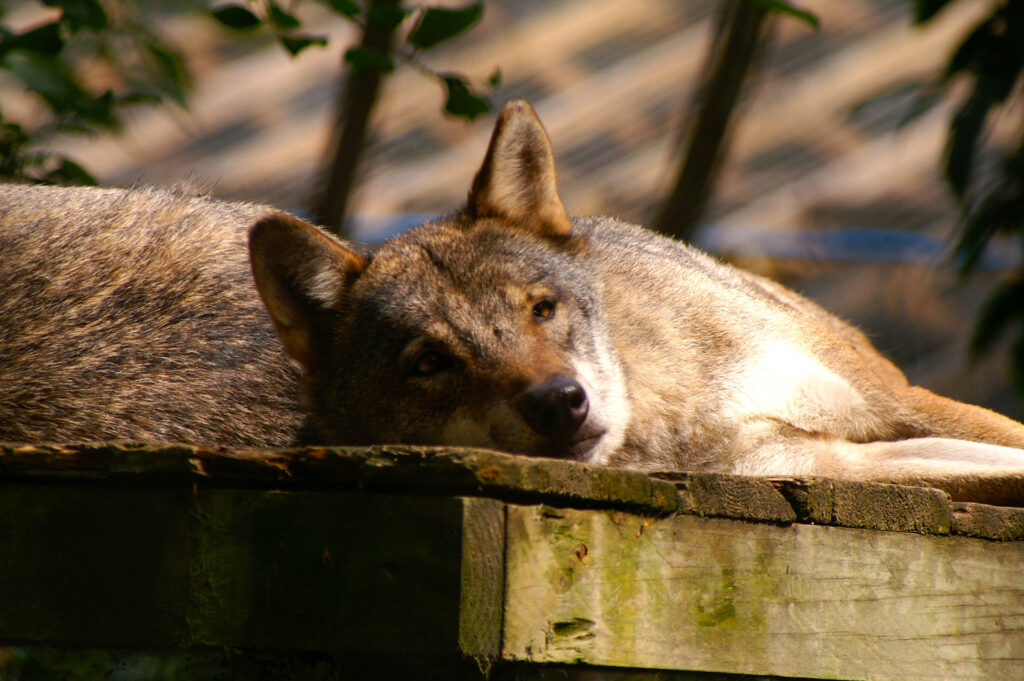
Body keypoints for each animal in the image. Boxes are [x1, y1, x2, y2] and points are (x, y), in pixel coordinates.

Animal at [2, 100, 1023, 504]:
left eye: (541, 310)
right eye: (431, 363)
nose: (560, 401)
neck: (680, 411)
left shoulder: (894, 404)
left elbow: (1005, 437)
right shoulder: (821, 463)